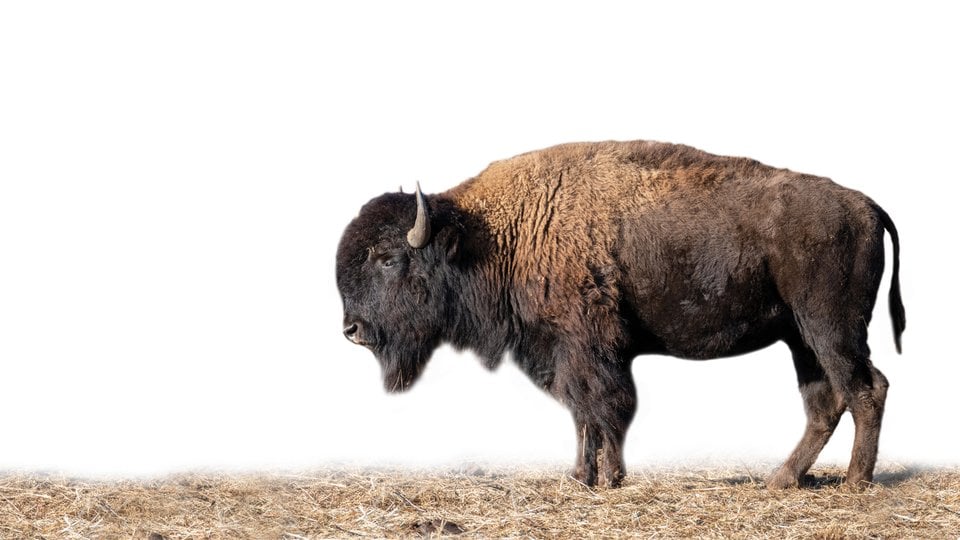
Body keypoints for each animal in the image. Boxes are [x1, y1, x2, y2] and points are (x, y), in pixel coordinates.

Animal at [336, 140, 904, 489]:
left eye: (388, 258)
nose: (352, 330)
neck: (497, 234)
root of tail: (866, 205)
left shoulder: (588, 349)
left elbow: (605, 408)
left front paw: (607, 478)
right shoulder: (560, 353)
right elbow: (582, 413)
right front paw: (581, 476)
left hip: (830, 328)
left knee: (865, 388)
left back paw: (855, 483)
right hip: (801, 338)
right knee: (825, 402)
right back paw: (781, 479)